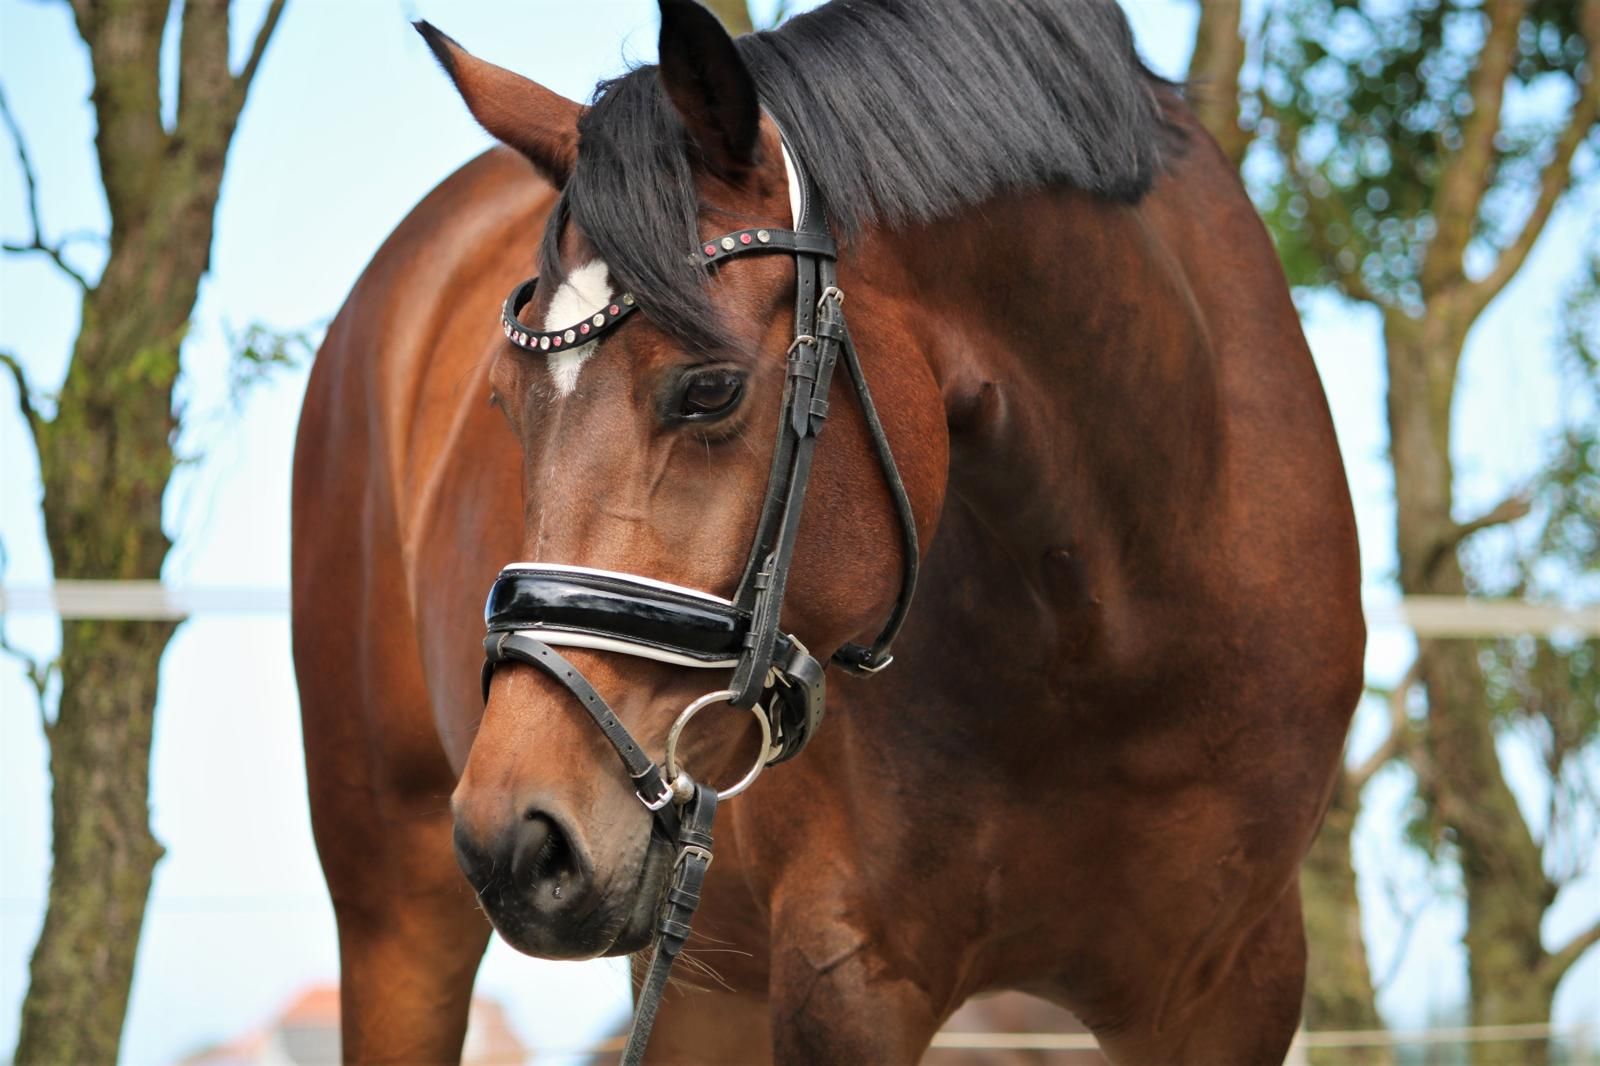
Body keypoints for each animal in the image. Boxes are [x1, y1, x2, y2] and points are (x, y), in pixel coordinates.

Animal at [290, 1, 1365, 1062]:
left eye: (710, 389)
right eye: (505, 405)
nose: (518, 840)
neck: (1115, 629)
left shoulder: (1235, 986)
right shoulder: (846, 980)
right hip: (402, 912)